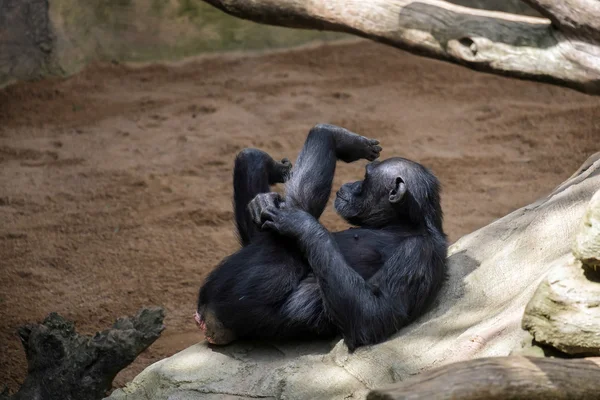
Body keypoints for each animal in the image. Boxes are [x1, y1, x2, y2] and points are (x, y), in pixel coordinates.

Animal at [195, 123, 448, 352]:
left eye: (365, 179)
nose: (351, 184)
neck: (400, 224)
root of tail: (207, 321)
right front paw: (262, 200)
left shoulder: (419, 254)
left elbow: (373, 316)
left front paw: (299, 221)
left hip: (240, 300)